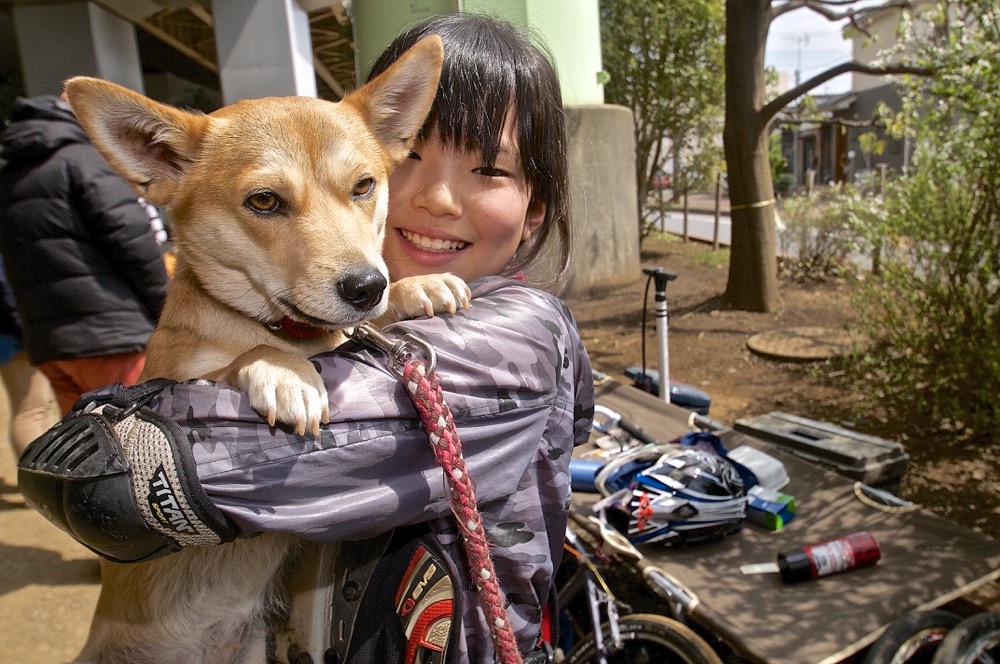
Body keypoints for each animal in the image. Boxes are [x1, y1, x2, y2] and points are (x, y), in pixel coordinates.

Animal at [64, 36, 470, 664]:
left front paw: (417, 287)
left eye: (363, 185)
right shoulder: (174, 372)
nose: (366, 286)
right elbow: (238, 359)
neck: (293, 331)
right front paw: (286, 373)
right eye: (263, 201)